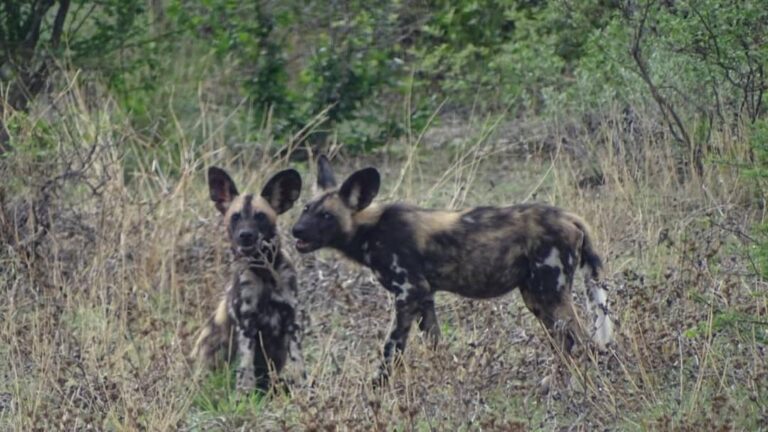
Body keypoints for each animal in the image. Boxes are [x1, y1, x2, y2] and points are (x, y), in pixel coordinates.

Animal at [192, 165, 306, 392]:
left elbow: (299, 366)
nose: (245, 235)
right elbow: (245, 369)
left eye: (260, 216)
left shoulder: (292, 323)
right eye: (235, 217)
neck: (265, 273)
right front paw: (244, 395)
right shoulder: (246, 326)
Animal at [292, 155, 616, 384]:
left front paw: (376, 388)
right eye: (305, 209)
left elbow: (391, 350)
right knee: (568, 346)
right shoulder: (424, 298)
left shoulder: (408, 294)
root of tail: (570, 216)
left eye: (326, 216)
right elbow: (436, 345)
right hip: (537, 299)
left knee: (585, 345)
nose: (296, 231)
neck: (370, 229)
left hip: (550, 295)